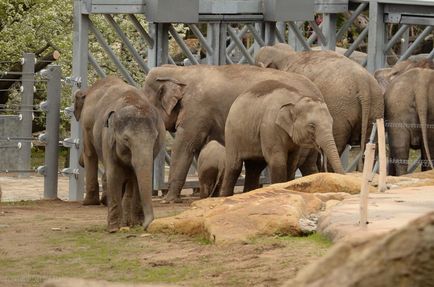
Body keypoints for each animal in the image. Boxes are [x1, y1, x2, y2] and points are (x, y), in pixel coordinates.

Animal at [73, 76, 165, 232]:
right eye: (126, 139)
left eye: (155, 138)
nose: (146, 225)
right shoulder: (106, 138)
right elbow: (114, 174)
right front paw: (114, 229)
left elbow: (135, 177)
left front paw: (134, 223)